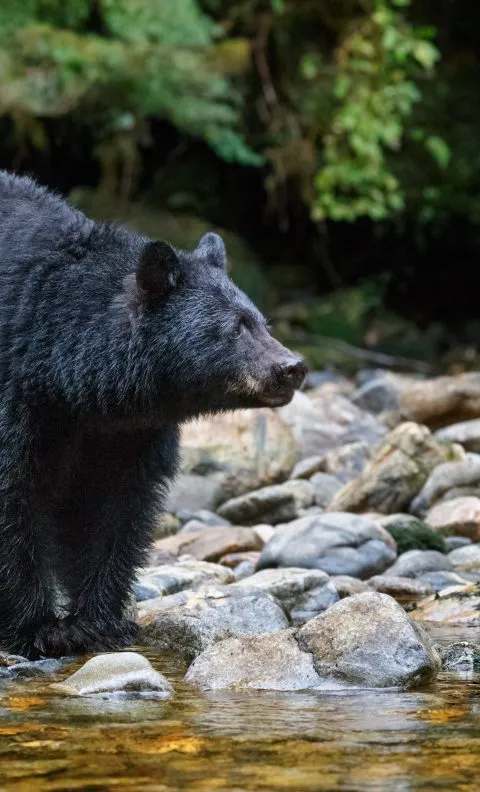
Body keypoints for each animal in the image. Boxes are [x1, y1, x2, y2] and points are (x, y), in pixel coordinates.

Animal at [0, 170, 306, 659]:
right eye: (236, 327)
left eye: (263, 322)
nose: (292, 367)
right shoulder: (20, 401)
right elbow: (14, 496)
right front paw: (37, 628)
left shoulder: (125, 431)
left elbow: (117, 505)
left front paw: (100, 622)